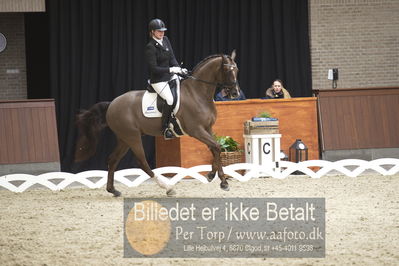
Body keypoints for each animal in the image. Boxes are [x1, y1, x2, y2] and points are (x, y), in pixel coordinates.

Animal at [74, 50, 241, 195]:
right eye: (227, 70)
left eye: (237, 70)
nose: (235, 93)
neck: (197, 93)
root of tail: (111, 104)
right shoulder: (196, 130)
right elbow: (216, 146)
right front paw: (223, 181)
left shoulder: (208, 128)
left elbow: (215, 148)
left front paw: (213, 175)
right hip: (132, 137)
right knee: (142, 162)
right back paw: (167, 187)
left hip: (124, 138)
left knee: (113, 160)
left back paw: (113, 190)